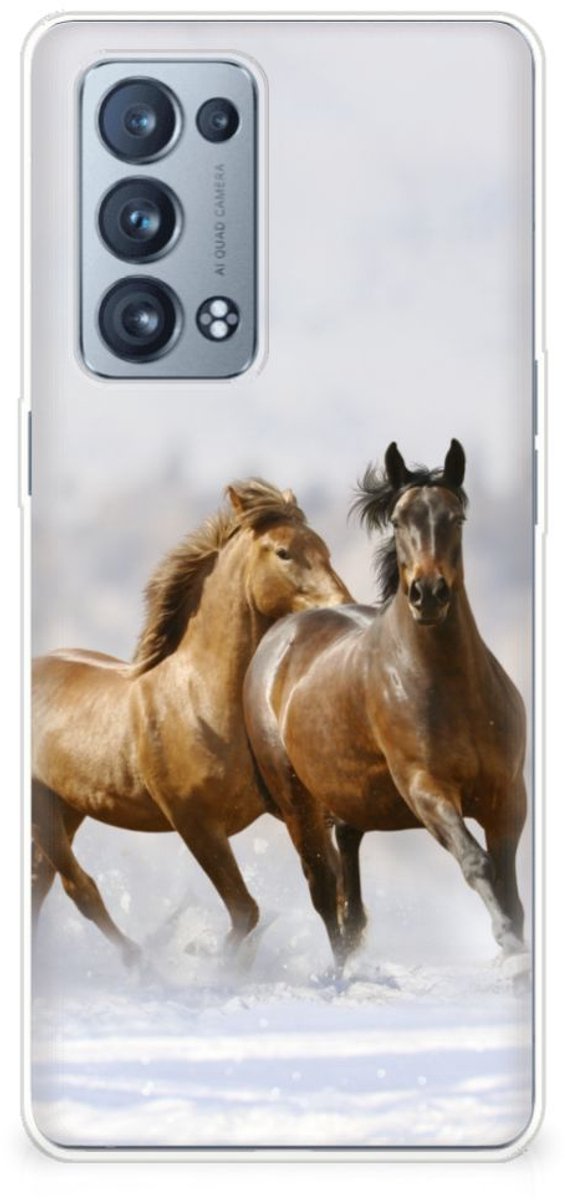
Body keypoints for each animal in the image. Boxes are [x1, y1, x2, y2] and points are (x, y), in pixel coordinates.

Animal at [32, 479, 352, 964]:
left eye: (324, 547)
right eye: (284, 552)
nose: (343, 607)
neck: (200, 701)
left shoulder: (290, 808)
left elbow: (327, 887)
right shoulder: (195, 823)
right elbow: (245, 911)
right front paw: (211, 961)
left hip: (67, 804)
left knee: (41, 882)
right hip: (40, 807)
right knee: (77, 887)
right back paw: (141, 962)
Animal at [244, 441, 527, 967]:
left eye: (456, 517)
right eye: (397, 520)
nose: (428, 594)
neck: (452, 689)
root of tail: (278, 637)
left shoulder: (508, 796)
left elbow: (510, 885)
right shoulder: (426, 789)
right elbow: (476, 862)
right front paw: (508, 944)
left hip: (349, 802)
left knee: (349, 889)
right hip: (298, 805)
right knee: (324, 890)